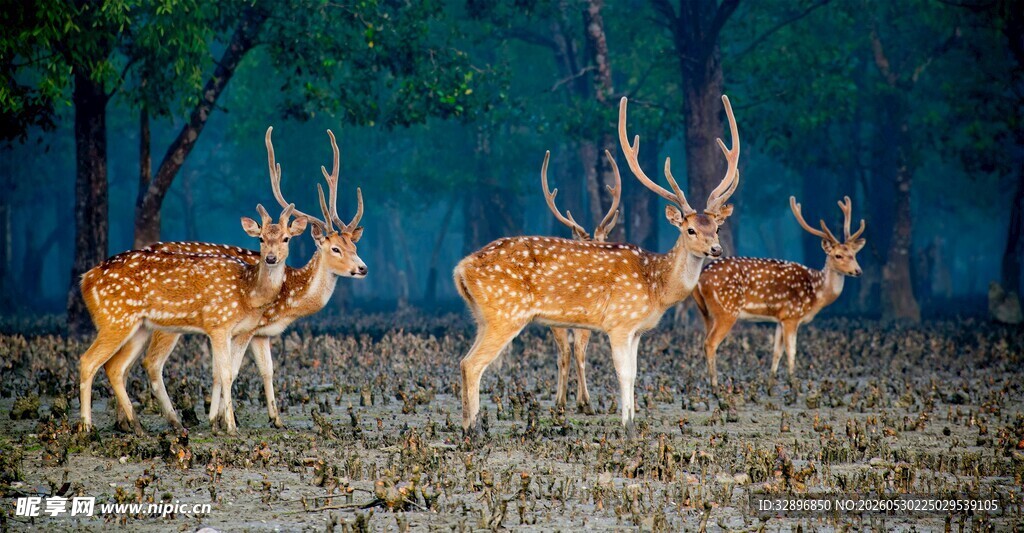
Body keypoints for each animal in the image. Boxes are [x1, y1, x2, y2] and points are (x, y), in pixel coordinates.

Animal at [79, 201, 307, 436]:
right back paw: (86, 426)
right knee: (89, 361)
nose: (271, 258)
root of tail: (85, 279)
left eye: (286, 238)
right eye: (261, 238)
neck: (248, 292)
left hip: (138, 327)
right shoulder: (219, 323)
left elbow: (229, 371)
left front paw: (221, 422)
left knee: (115, 367)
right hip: (115, 319)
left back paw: (139, 427)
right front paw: (230, 426)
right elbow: (226, 372)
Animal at [101, 127, 366, 432]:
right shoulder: (246, 328)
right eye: (335, 249)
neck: (288, 298)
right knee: (150, 363)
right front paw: (217, 418)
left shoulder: (261, 334)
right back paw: (170, 421)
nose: (363, 268)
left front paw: (275, 419)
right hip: (165, 325)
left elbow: (267, 370)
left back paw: (123, 422)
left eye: (354, 246)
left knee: (123, 364)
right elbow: (229, 370)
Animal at [539, 150, 620, 414]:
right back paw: (578, 402)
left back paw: (562, 401)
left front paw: (571, 399)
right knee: (573, 351)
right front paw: (583, 401)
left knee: (565, 352)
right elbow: (579, 351)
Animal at [691, 196, 866, 387]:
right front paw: (794, 385)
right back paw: (715, 386)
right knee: (710, 343)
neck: (815, 293)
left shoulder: (779, 318)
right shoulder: (792, 315)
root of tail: (701, 278)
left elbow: (777, 352)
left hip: (706, 312)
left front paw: (770, 386)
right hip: (727, 310)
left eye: (854, 254)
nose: (858, 271)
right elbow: (792, 351)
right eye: (838, 255)